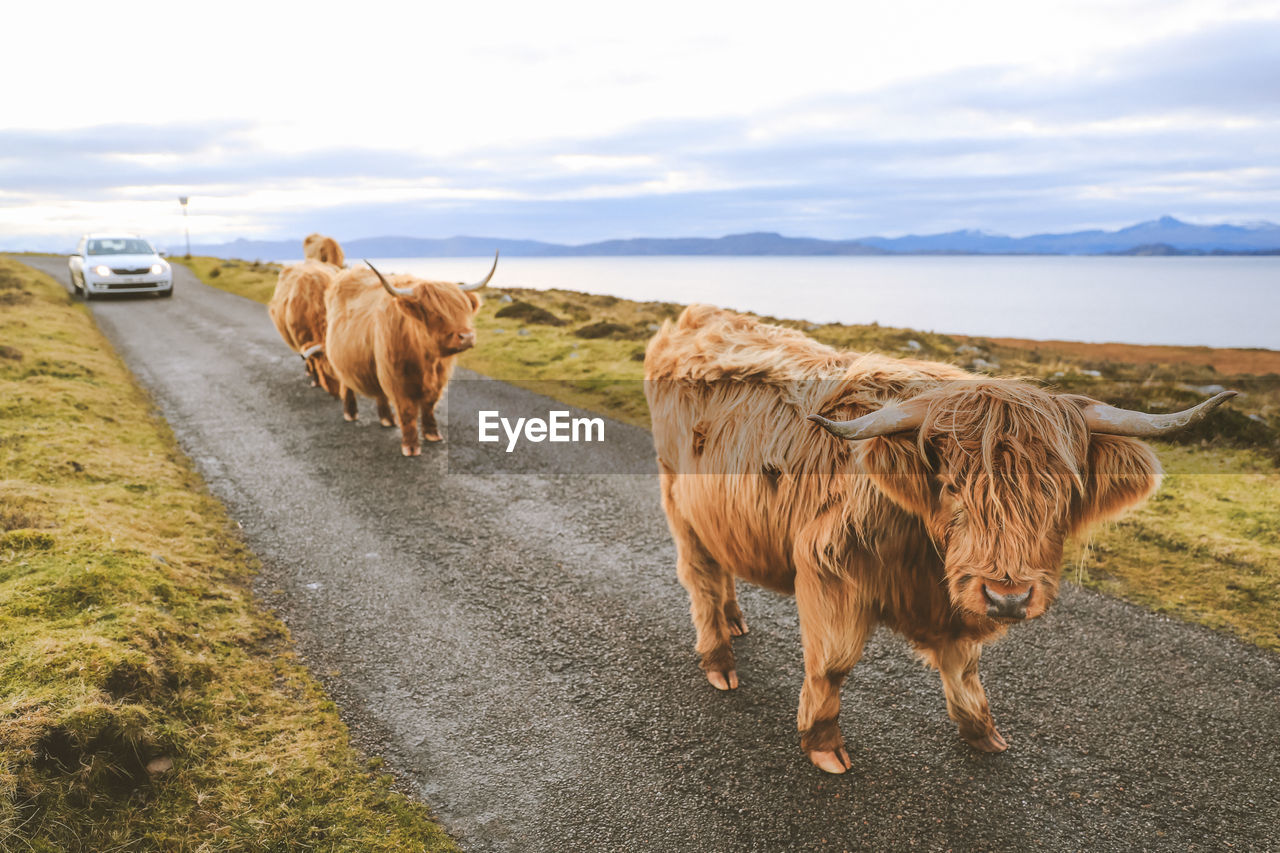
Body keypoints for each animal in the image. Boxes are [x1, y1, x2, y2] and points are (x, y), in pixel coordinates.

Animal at [322, 251, 496, 455]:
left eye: (464, 309)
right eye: (435, 313)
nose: (467, 336)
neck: (426, 360)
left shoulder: (438, 379)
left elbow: (429, 405)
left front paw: (432, 434)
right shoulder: (397, 379)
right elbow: (407, 410)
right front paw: (411, 446)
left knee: (380, 392)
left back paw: (387, 419)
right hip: (343, 360)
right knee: (347, 385)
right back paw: (351, 413)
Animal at [645, 303, 1233, 768]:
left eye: (1064, 490)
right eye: (951, 485)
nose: (1009, 596)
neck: (921, 557)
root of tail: (692, 319)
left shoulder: (955, 598)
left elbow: (965, 665)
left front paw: (983, 732)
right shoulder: (828, 568)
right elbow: (833, 663)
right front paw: (823, 744)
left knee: (720, 565)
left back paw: (735, 620)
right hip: (676, 495)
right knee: (699, 575)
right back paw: (719, 658)